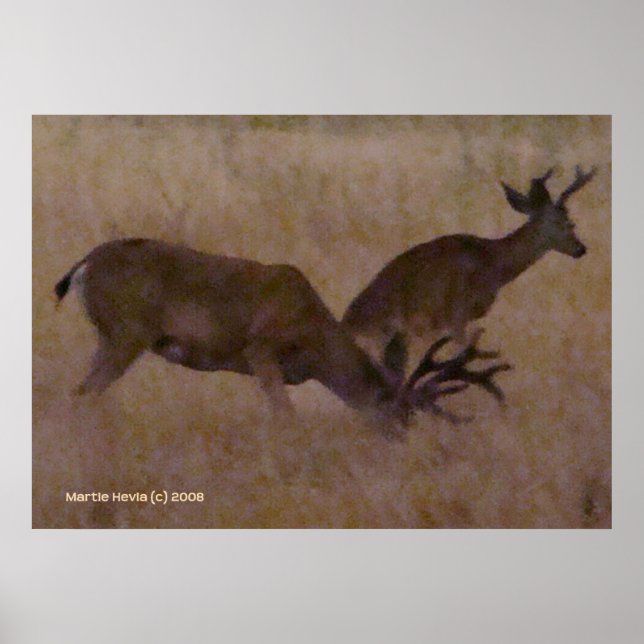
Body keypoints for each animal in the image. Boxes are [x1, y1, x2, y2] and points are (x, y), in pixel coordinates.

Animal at [54, 238, 509, 439]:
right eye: (401, 412)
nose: (402, 441)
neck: (314, 337)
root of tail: (85, 264)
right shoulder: (260, 349)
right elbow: (285, 415)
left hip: (112, 337)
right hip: (125, 334)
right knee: (81, 394)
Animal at [342, 165, 596, 358]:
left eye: (570, 220)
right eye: (562, 222)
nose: (580, 249)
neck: (493, 262)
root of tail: (348, 322)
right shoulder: (455, 314)